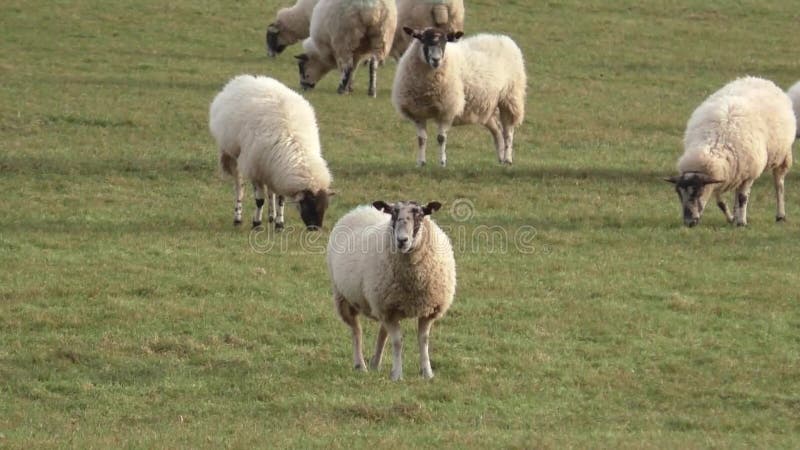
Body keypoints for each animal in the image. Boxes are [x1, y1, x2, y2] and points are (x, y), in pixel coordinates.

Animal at [209, 75, 334, 230]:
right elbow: (259, 200)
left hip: (269, 168)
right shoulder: (255, 170)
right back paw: (238, 218)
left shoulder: (277, 171)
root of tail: (242, 79)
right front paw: (256, 224)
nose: (315, 229)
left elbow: (280, 199)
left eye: (325, 207)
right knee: (240, 187)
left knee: (270, 191)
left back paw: (271, 216)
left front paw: (279, 224)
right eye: (308, 205)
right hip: (233, 155)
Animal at [326, 200, 456, 380]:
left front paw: (427, 373)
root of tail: (360, 209)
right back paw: (360, 365)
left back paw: (375, 363)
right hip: (345, 298)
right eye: (393, 214)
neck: (413, 280)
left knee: (382, 332)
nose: (402, 240)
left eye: (420, 214)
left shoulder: (428, 309)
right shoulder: (388, 308)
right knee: (356, 331)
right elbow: (398, 342)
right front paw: (397, 375)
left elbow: (423, 340)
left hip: (385, 305)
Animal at [392, 29, 528, 168]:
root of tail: (504, 39)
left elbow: (441, 138)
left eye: (445, 41)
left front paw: (442, 163)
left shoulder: (447, 109)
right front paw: (421, 163)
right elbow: (421, 139)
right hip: (487, 107)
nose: (436, 60)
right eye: (423, 39)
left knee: (508, 131)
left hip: (510, 98)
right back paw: (500, 159)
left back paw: (508, 159)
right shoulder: (417, 112)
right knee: (497, 131)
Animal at [664, 76, 796, 229]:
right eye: (678, 193)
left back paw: (780, 215)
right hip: (739, 170)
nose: (689, 223)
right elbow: (721, 202)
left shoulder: (748, 174)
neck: (713, 145)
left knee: (778, 184)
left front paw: (741, 222)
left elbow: (743, 198)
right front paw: (732, 218)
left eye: (698, 192)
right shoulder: (720, 175)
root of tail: (759, 78)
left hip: (782, 155)